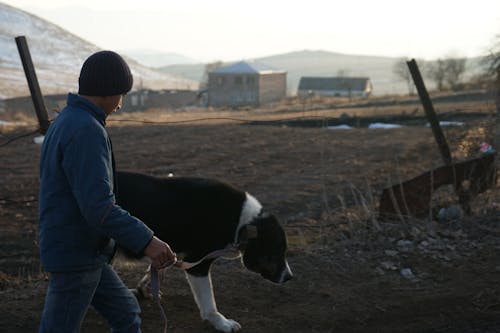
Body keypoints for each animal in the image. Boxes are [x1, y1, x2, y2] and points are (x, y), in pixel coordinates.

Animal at [114, 171, 292, 332]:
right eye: (277, 251)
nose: (289, 277)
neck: (241, 222)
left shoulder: (169, 252)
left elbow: (156, 270)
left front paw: (145, 288)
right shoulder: (198, 265)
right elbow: (209, 301)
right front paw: (222, 323)